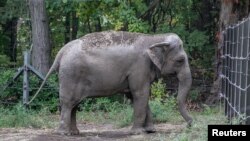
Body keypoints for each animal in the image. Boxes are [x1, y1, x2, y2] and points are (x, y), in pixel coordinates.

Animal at [31, 30, 191, 135]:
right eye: (180, 60)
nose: (190, 124)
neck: (154, 38)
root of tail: (61, 51)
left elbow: (137, 96)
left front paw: (151, 131)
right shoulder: (139, 67)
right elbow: (140, 94)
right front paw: (138, 133)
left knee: (74, 105)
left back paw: (75, 133)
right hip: (70, 76)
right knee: (68, 103)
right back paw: (63, 134)